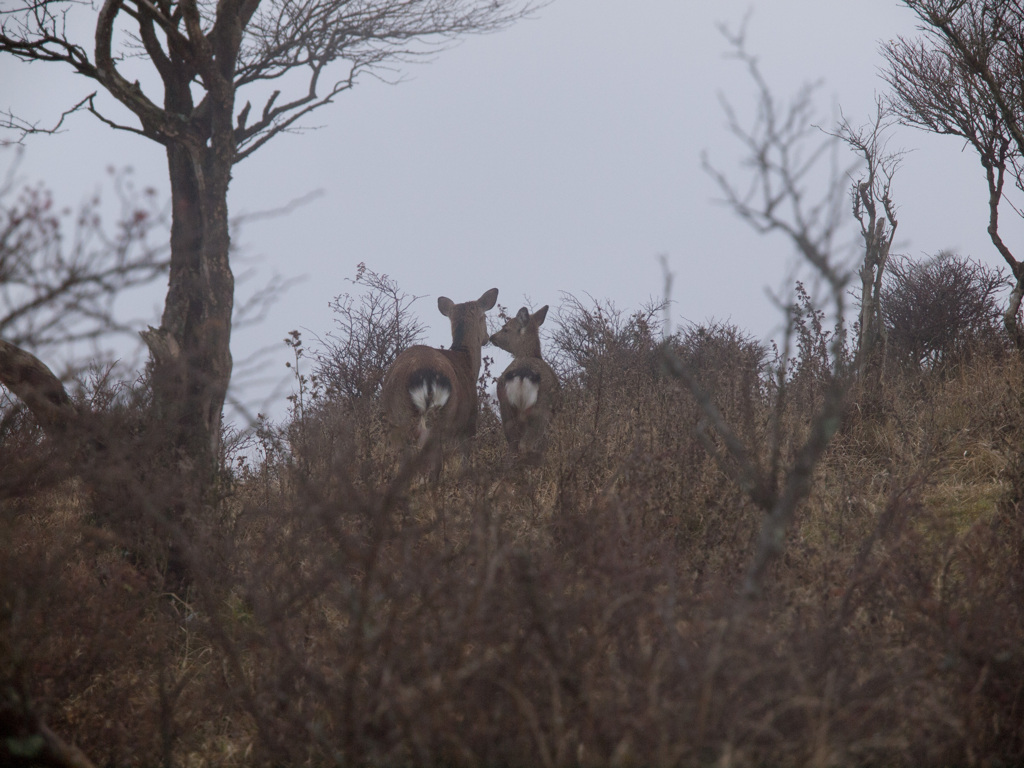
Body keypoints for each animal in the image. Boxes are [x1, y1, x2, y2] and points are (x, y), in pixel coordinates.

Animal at [380, 288, 499, 481]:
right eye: (485, 317)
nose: (488, 337)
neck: (467, 362)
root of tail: (422, 375)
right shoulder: (469, 422)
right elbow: (465, 463)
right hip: (439, 417)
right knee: (434, 465)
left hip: (397, 416)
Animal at [487, 305, 561, 462]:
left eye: (505, 328)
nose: (492, 337)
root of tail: (522, 373)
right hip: (541, 409)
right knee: (526, 445)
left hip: (505, 407)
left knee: (513, 446)